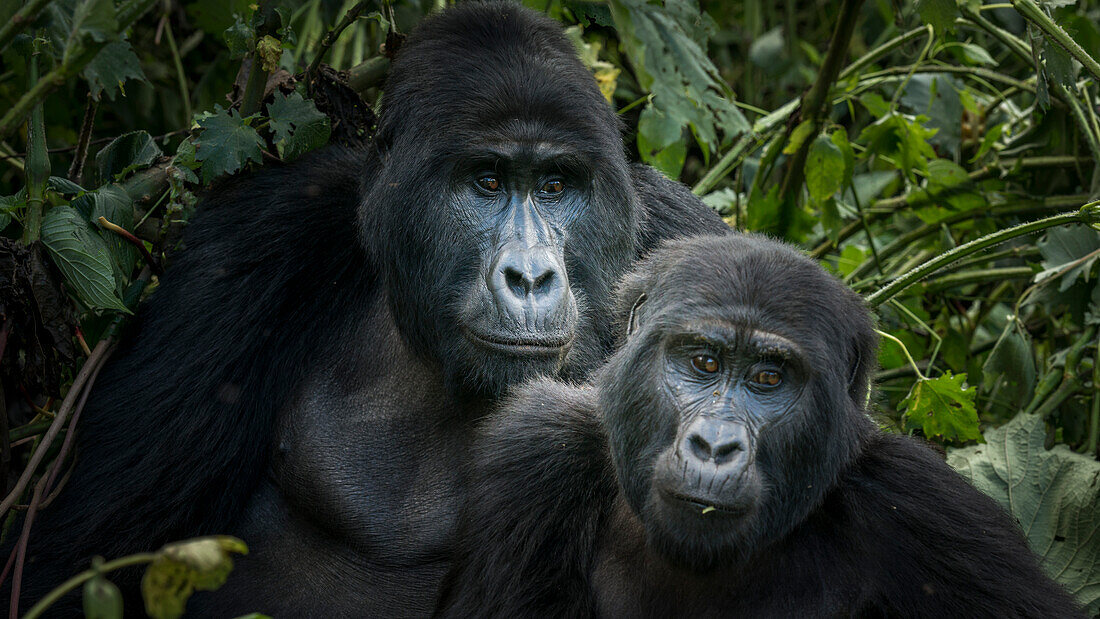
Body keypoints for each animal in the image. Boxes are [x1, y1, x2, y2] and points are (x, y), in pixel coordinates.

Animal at [8, 3, 730, 615]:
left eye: (556, 186)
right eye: (486, 181)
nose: (530, 276)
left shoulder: (685, 240)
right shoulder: (255, 239)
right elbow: (73, 557)